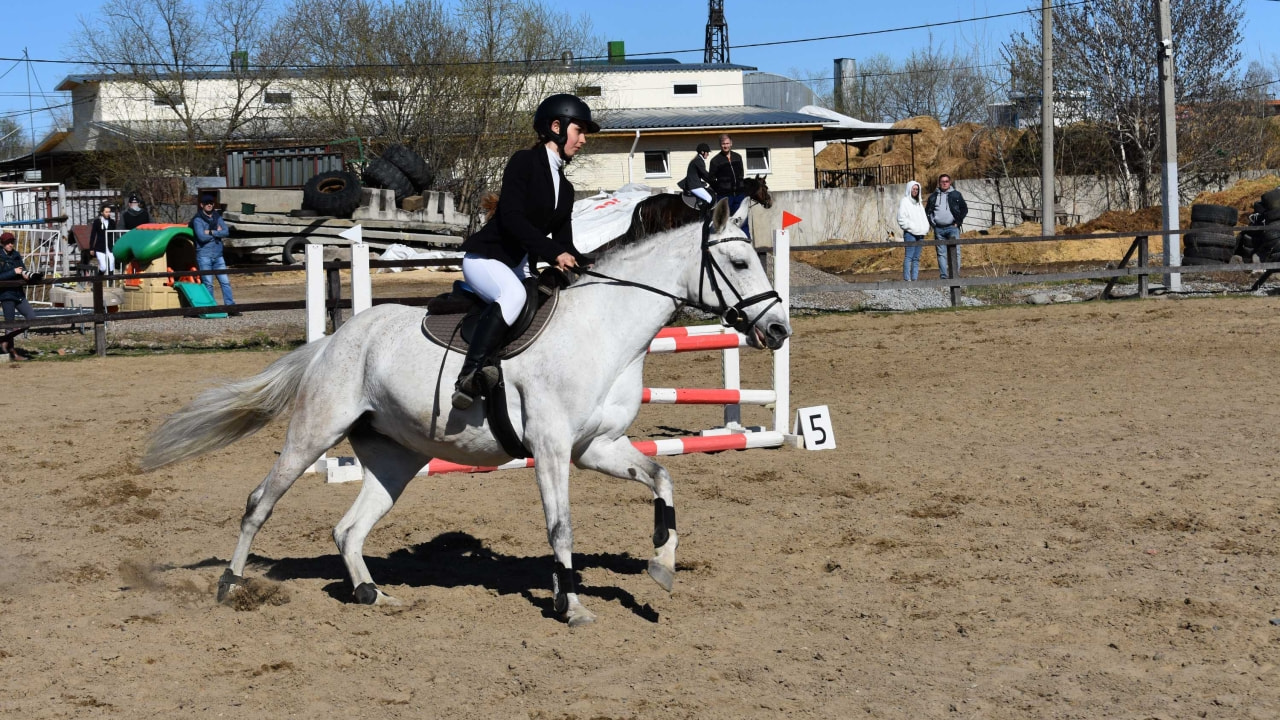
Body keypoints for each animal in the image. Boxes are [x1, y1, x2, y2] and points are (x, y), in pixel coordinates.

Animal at [145, 196, 793, 622]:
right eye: (739, 264)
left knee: (349, 529)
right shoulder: (552, 448)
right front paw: (571, 603)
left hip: (395, 459)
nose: (779, 331)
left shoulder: (596, 448)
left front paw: (660, 565)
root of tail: (334, 340)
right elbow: (560, 525)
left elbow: (662, 478)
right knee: (261, 501)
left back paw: (372, 594)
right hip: (314, 432)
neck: (604, 330)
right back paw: (231, 585)